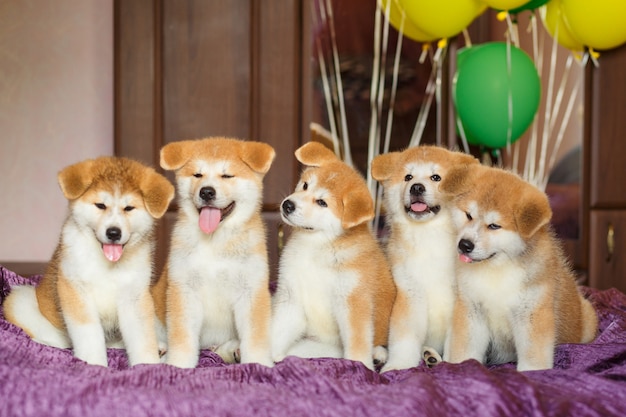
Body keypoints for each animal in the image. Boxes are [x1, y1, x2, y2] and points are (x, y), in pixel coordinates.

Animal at [3, 155, 173, 364]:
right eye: (100, 205)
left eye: (129, 208)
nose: (114, 233)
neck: (107, 265)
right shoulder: (76, 290)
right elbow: (90, 337)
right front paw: (95, 364)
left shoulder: (135, 296)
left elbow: (142, 338)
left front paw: (147, 364)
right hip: (20, 299)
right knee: (51, 339)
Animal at [151, 137, 272, 368]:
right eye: (197, 175)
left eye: (227, 175)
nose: (206, 191)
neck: (215, 242)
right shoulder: (184, 289)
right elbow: (182, 338)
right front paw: (178, 365)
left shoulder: (251, 290)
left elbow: (255, 337)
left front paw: (258, 363)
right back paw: (160, 348)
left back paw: (232, 350)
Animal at [270, 141, 394, 368]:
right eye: (305, 185)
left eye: (322, 202)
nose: (288, 205)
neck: (318, 247)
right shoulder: (291, 297)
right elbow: (276, 331)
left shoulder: (353, 302)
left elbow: (357, 344)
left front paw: (360, 366)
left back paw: (378, 354)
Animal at [368, 146, 476, 370]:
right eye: (408, 177)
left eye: (436, 177)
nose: (416, 187)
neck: (429, 236)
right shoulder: (410, 293)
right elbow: (404, 340)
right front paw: (398, 365)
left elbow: (459, 342)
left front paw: (457, 366)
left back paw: (432, 357)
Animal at [438, 163, 596, 370]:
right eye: (469, 215)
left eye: (494, 226)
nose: (464, 244)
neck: (498, 270)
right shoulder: (471, 310)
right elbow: (465, 351)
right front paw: (460, 366)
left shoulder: (531, 315)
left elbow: (533, 360)